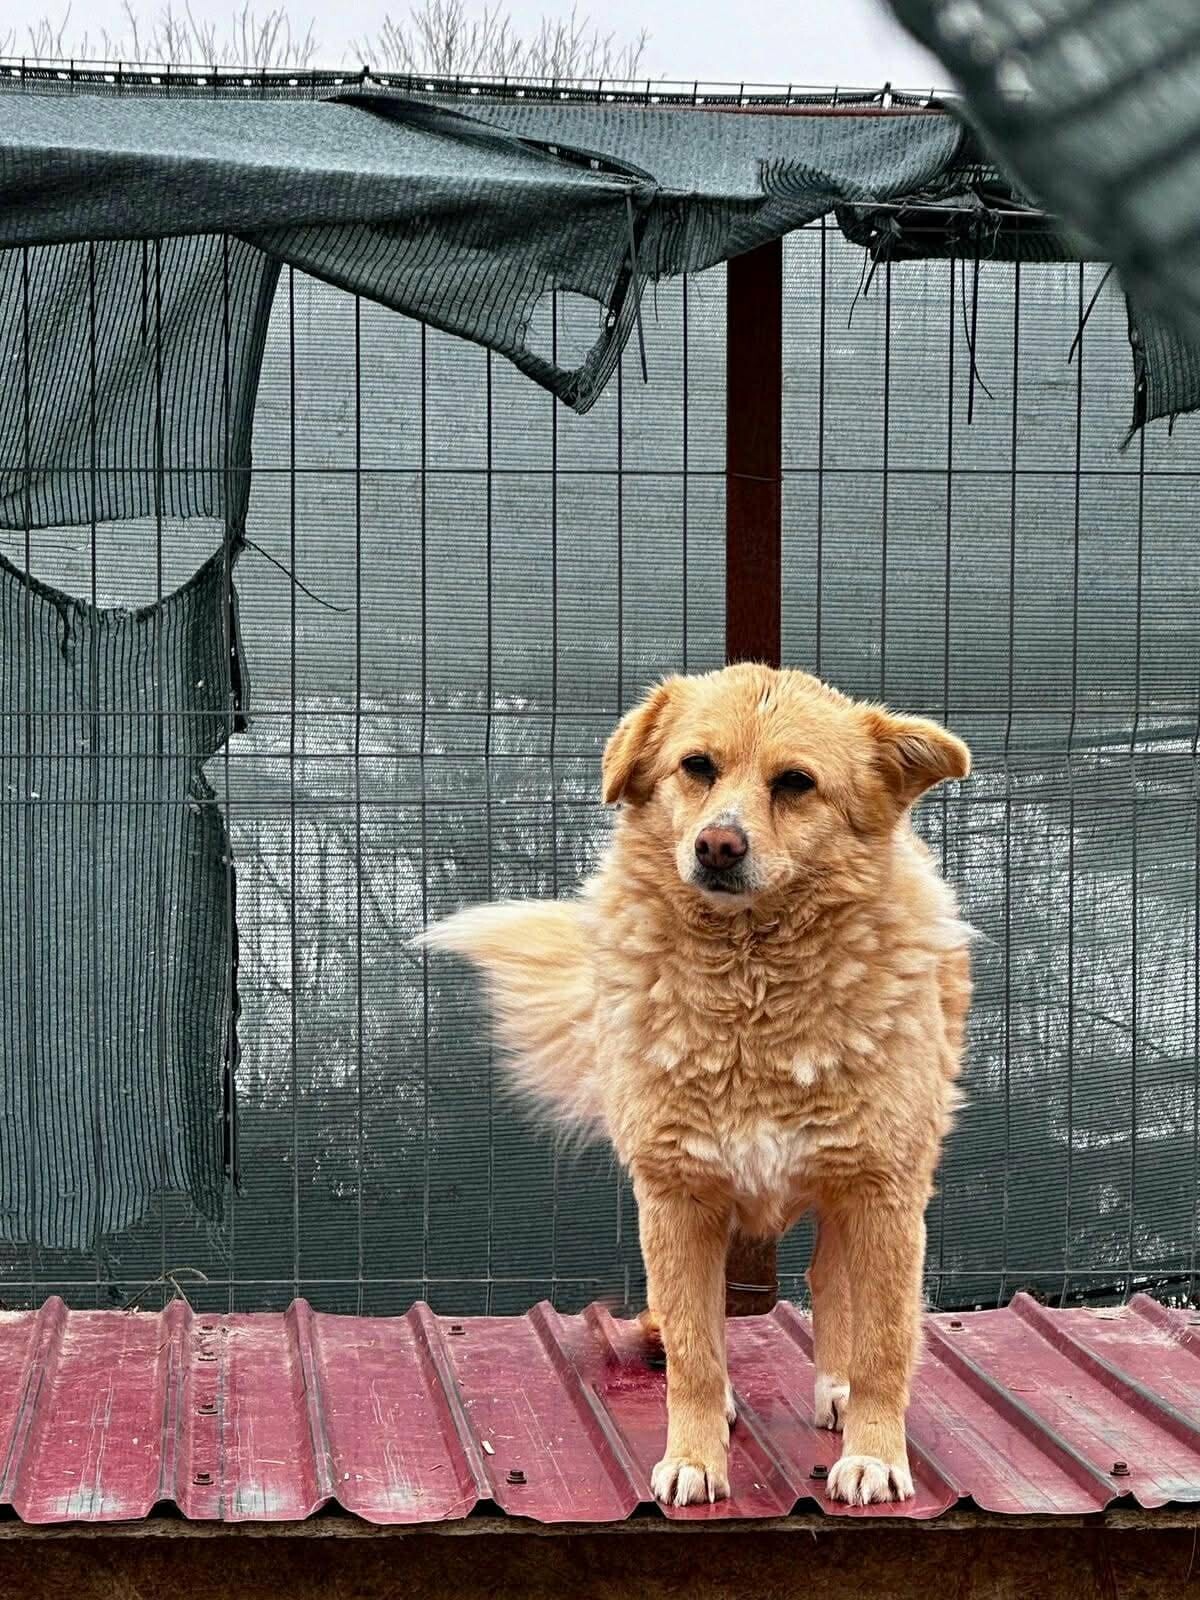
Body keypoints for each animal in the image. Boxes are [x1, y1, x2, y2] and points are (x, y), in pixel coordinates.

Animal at [421, 663, 971, 1508]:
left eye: (796, 783)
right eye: (697, 767)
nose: (717, 843)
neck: (751, 990)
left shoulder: (884, 1193)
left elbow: (884, 1346)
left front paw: (877, 1454)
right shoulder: (678, 1198)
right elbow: (692, 1353)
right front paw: (695, 1456)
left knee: (833, 1288)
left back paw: (838, 1393)